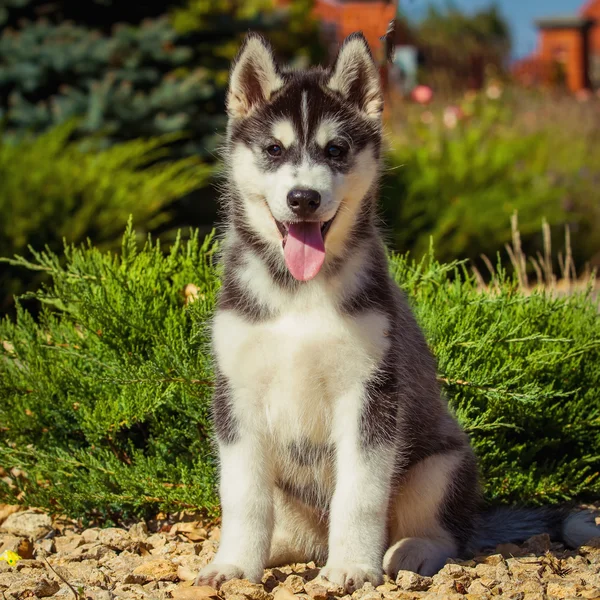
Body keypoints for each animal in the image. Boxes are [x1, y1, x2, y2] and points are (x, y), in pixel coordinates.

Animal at [196, 32, 596, 592]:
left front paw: (351, 567)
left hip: (440, 464)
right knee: (297, 533)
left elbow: (360, 495)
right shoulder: (237, 396)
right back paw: (281, 550)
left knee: (446, 535)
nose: (303, 198)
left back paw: (410, 551)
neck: (300, 294)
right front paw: (234, 564)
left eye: (336, 150)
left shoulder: (371, 394)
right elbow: (243, 497)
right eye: (273, 149)